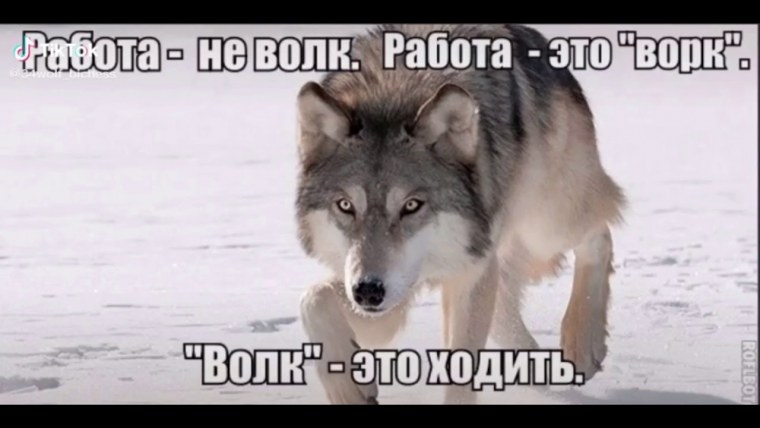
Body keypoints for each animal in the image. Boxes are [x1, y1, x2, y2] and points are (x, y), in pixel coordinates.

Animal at [295, 24, 625, 404]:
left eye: (411, 205)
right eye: (346, 206)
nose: (368, 291)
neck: (393, 91)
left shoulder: (468, 270)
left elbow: (460, 372)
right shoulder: (385, 292)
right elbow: (312, 300)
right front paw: (348, 387)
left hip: (546, 224)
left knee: (599, 234)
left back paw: (582, 344)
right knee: (504, 308)